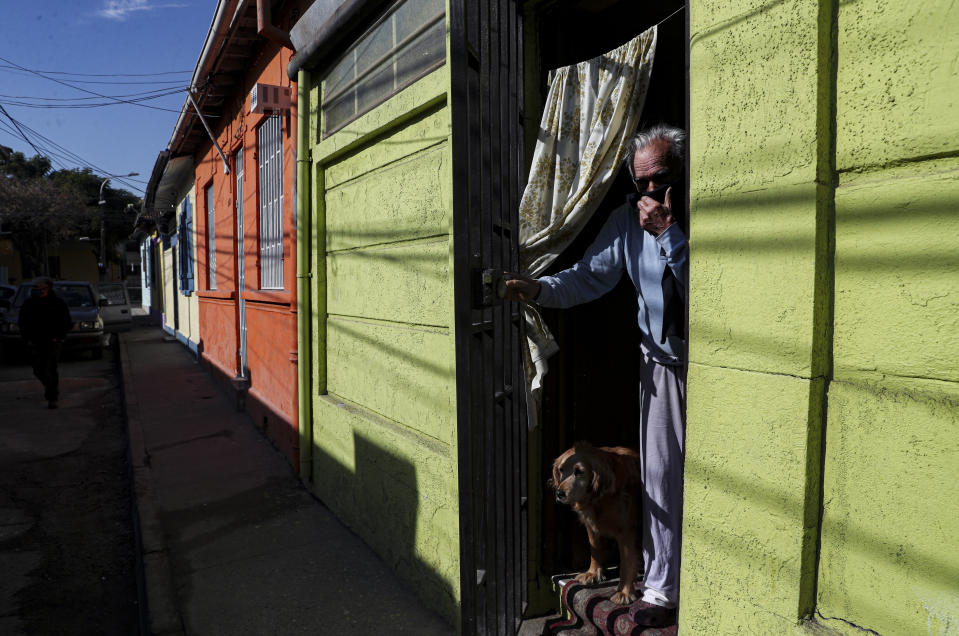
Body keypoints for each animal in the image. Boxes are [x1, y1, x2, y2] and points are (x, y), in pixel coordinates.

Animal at [552, 440, 640, 604]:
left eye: (579, 471)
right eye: (561, 470)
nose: (559, 493)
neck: (599, 498)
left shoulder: (627, 531)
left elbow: (627, 562)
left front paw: (624, 592)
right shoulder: (591, 524)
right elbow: (595, 548)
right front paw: (593, 573)